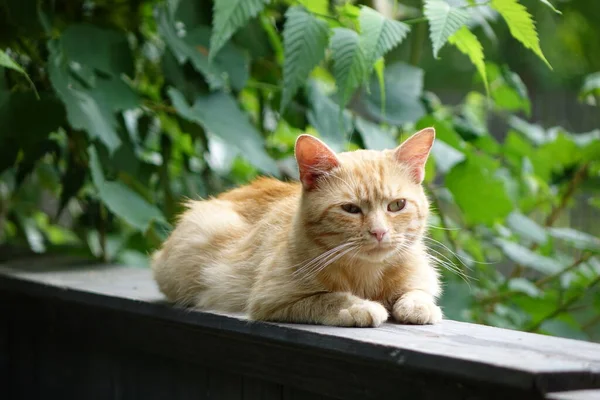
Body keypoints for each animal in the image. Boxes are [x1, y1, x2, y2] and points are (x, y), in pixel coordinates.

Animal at [152, 129, 442, 328]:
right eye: (350, 209)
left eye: (397, 205)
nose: (379, 232)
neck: (366, 274)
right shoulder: (273, 300)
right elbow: (327, 298)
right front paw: (359, 307)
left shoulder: (419, 278)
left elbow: (417, 292)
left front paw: (417, 305)